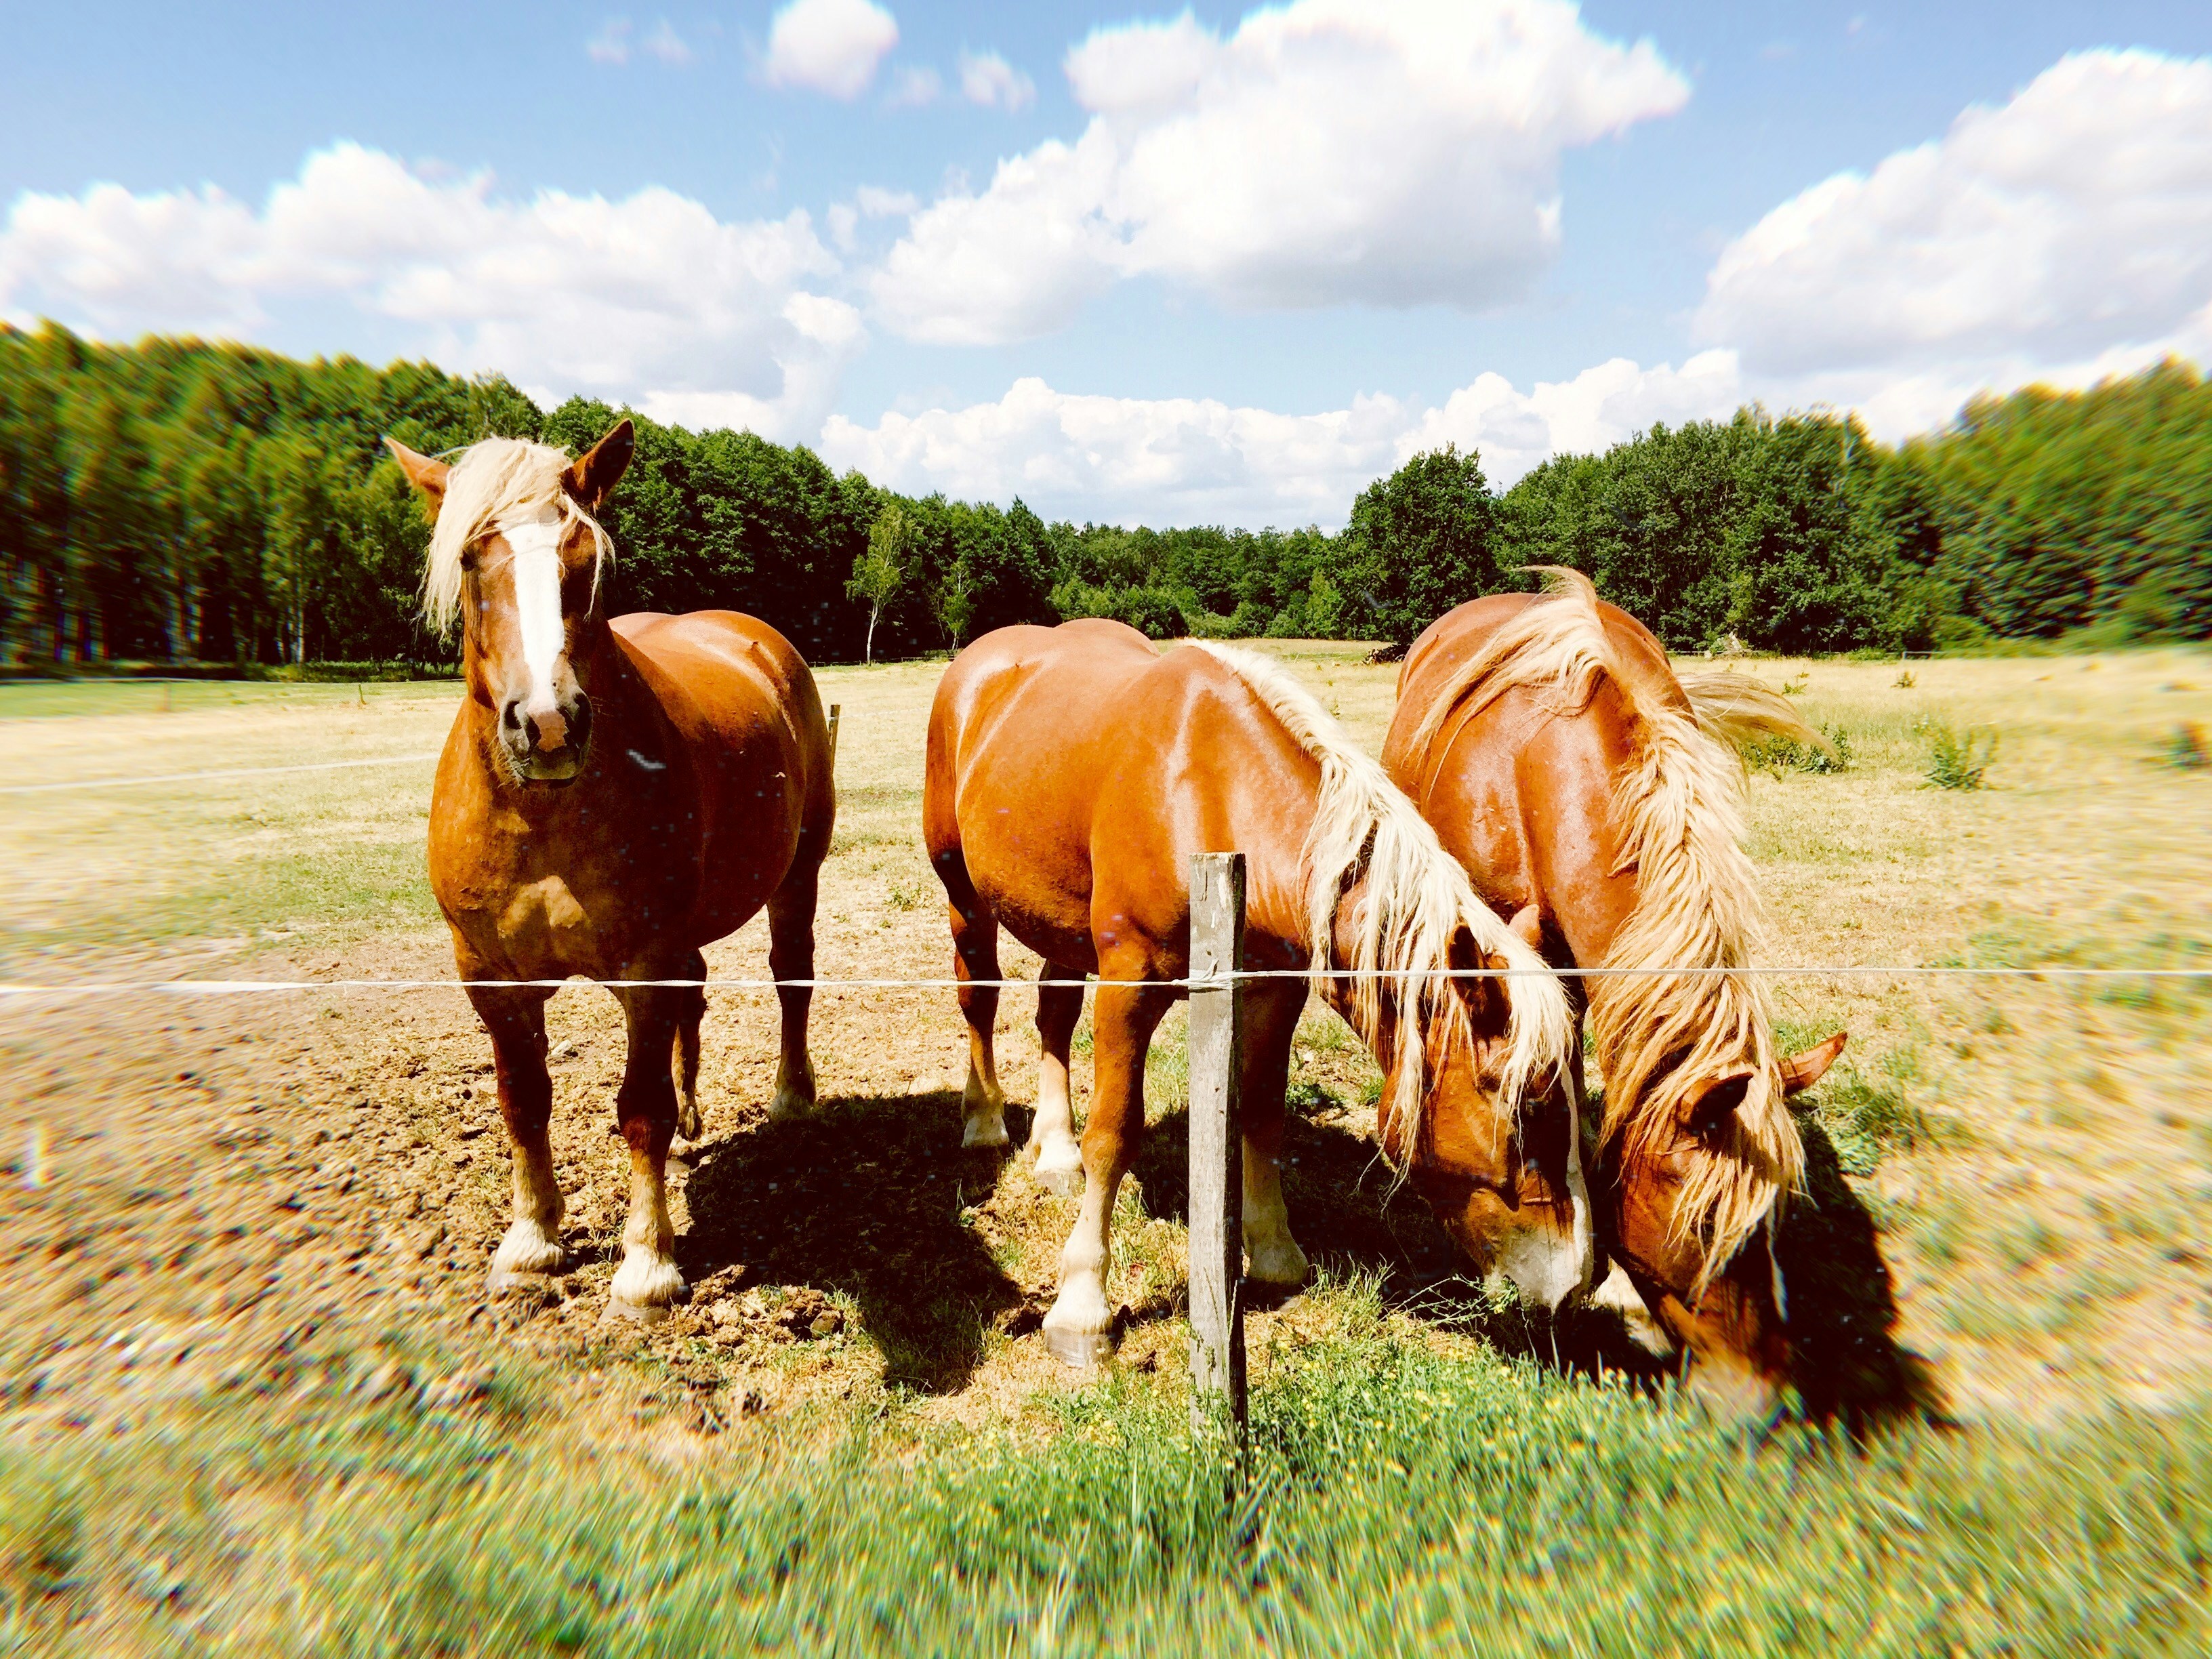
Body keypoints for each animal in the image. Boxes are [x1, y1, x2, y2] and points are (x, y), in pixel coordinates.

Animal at [384, 423, 835, 1322]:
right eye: (470, 559)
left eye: (586, 559)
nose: (548, 724)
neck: (544, 819)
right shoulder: (490, 978)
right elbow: (524, 1102)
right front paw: (532, 1242)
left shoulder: (645, 965)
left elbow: (640, 1109)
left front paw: (647, 1262)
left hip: (795, 877)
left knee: (790, 975)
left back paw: (790, 1095)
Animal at [923, 619, 1584, 1367]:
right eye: (1526, 1113)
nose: (1574, 1283)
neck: (1210, 788)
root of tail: (978, 660)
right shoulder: (1130, 982)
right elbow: (1114, 1134)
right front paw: (1083, 1308)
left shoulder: (1271, 990)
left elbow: (1262, 1114)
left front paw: (1274, 1254)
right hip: (963, 892)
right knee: (979, 996)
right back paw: (985, 1122)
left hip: (1055, 919)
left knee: (1054, 1011)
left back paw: (1055, 1151)